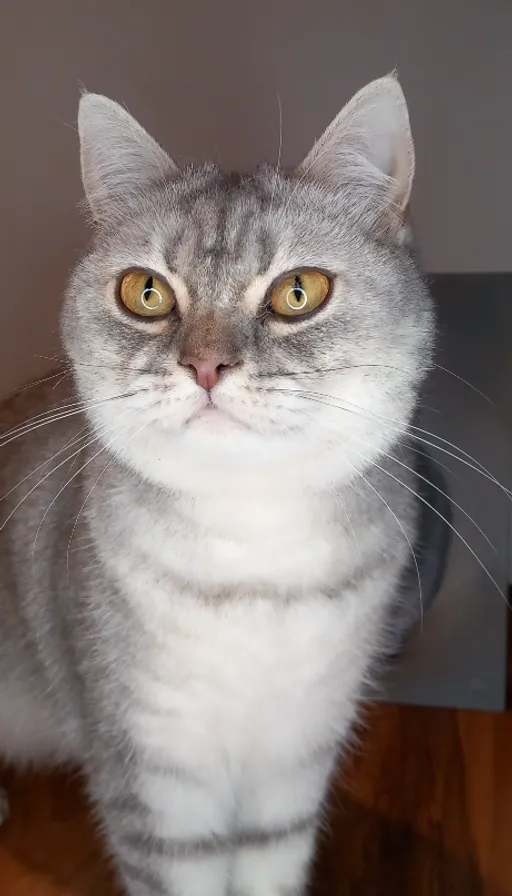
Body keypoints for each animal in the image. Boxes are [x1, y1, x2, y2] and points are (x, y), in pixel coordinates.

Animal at [0, 77, 432, 896]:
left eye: (299, 291)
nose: (205, 366)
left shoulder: (294, 762)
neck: (252, 564)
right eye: (145, 292)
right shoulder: (153, 781)